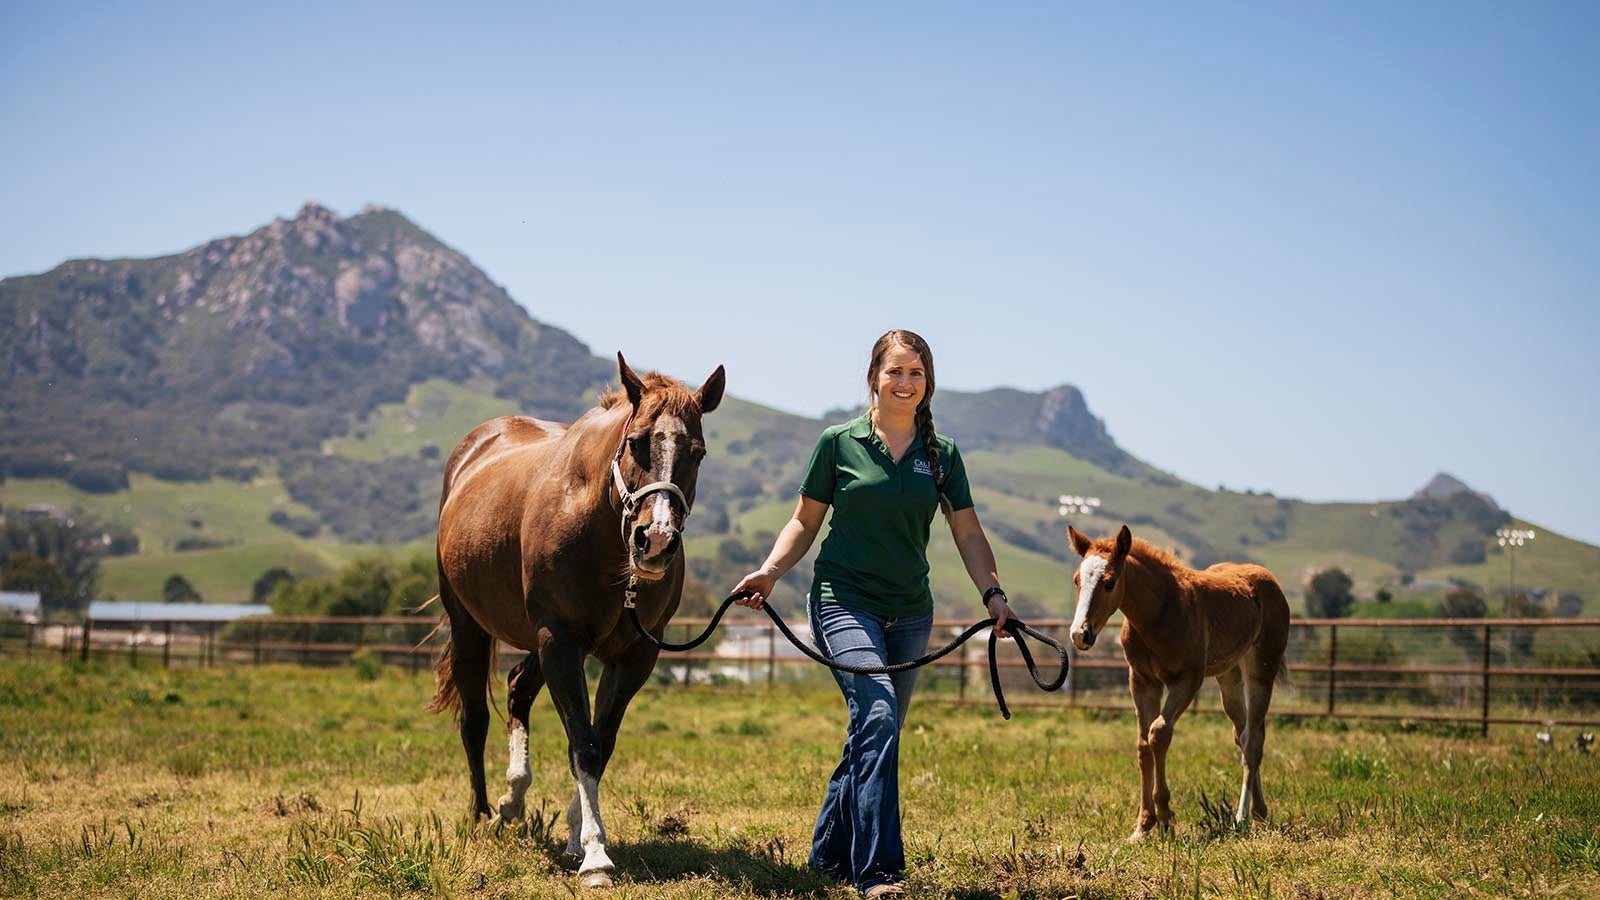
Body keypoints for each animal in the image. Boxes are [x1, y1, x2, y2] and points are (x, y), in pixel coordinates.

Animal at [430, 353, 724, 889]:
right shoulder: (562, 643)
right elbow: (582, 745)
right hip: (469, 625)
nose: (656, 540)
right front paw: (595, 856)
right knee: (475, 718)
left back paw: (512, 800)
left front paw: (575, 837)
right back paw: (482, 814)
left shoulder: (634, 656)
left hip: (535, 643)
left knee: (517, 687)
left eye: (698, 451)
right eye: (637, 441)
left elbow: (598, 744)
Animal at [1066, 524, 1290, 841]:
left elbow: (1158, 733)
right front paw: (1142, 826)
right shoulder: (1142, 681)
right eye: (1077, 581)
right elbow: (1143, 744)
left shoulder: (1187, 680)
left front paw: (1165, 815)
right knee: (1244, 732)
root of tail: (1269, 580)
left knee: (1253, 741)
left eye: (1109, 583)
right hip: (1229, 677)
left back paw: (1242, 818)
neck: (1159, 612)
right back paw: (1259, 810)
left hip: (1261, 671)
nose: (1079, 634)